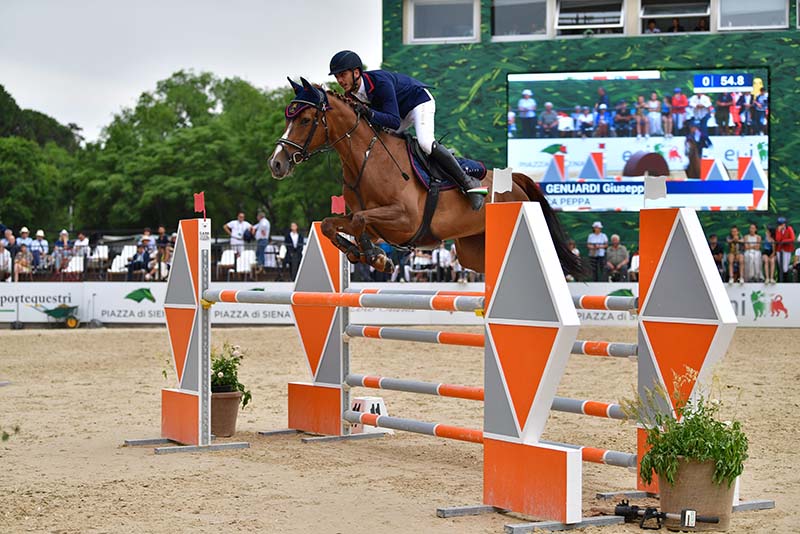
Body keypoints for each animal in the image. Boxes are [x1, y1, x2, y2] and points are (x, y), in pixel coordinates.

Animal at [268, 79, 580, 280]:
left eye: (305, 120)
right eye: (287, 118)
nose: (276, 163)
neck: (367, 159)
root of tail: (515, 181)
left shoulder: (405, 219)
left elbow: (359, 221)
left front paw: (374, 256)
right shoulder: (373, 222)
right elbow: (332, 225)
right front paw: (362, 254)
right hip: (472, 251)